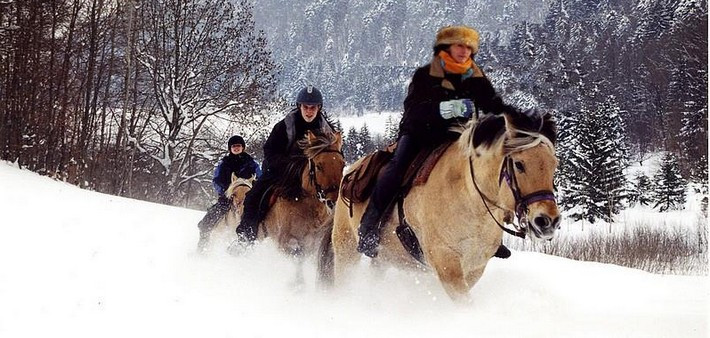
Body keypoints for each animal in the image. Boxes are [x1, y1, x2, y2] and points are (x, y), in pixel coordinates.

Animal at [320, 109, 560, 302]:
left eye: (553, 165)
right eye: (519, 164)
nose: (547, 221)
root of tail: (348, 174)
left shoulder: (475, 267)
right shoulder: (446, 262)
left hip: (384, 258)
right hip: (346, 246)